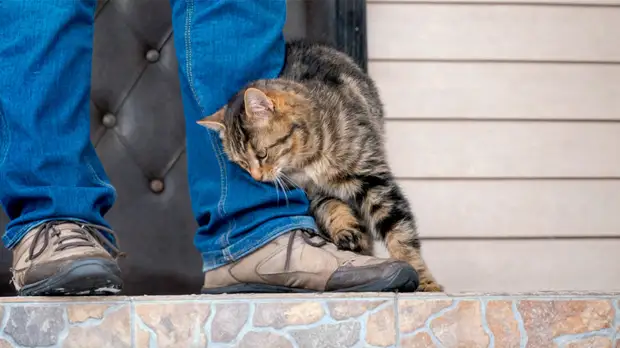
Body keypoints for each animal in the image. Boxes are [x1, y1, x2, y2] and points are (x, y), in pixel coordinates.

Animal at [196, 39, 444, 292]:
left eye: (262, 154)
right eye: (242, 164)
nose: (257, 178)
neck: (305, 163)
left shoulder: (372, 177)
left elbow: (399, 231)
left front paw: (423, 280)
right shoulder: (312, 194)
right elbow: (331, 207)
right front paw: (345, 229)